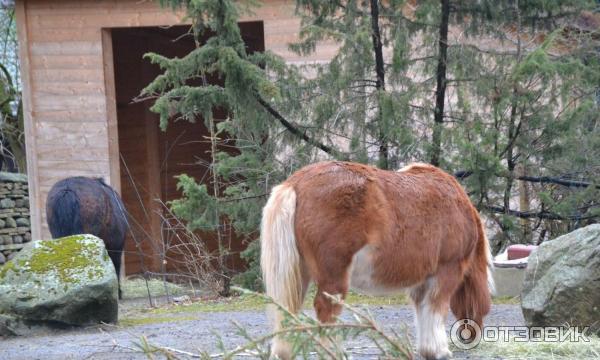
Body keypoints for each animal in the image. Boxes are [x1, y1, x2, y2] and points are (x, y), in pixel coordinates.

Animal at [258, 162, 492, 358]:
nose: (474, 334)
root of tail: (296, 183)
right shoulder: (446, 272)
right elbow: (435, 308)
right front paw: (439, 350)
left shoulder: (421, 281)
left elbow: (422, 310)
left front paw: (428, 350)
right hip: (333, 279)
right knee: (326, 311)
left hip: (298, 275)